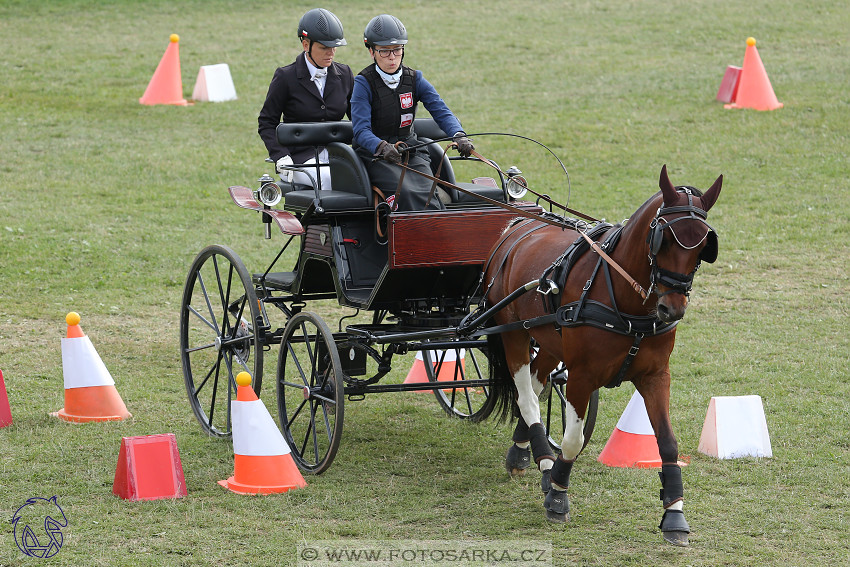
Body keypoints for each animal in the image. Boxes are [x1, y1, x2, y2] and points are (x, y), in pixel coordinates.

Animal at [480, 166, 720, 548]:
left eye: (702, 247)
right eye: (663, 240)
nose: (672, 309)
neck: (626, 302)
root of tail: (516, 225)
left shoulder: (655, 376)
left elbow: (668, 443)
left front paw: (675, 514)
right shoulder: (582, 376)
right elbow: (573, 440)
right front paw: (558, 496)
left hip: (549, 341)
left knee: (536, 383)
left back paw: (529, 453)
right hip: (513, 333)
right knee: (526, 396)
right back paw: (544, 461)